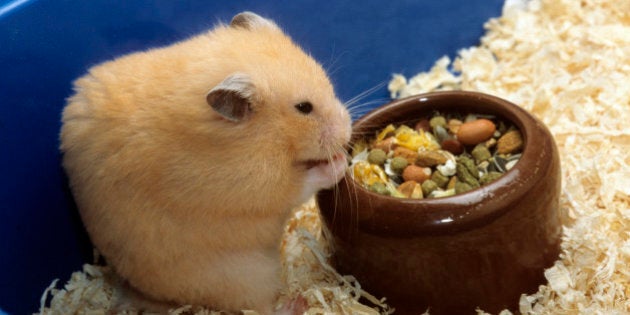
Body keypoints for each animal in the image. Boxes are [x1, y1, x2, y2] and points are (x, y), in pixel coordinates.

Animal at [59, 11, 354, 314]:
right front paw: (339, 162)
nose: (348, 130)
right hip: (245, 277)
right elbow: (301, 184)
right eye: (304, 108)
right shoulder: (255, 186)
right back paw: (298, 302)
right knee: (262, 307)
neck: (263, 138)